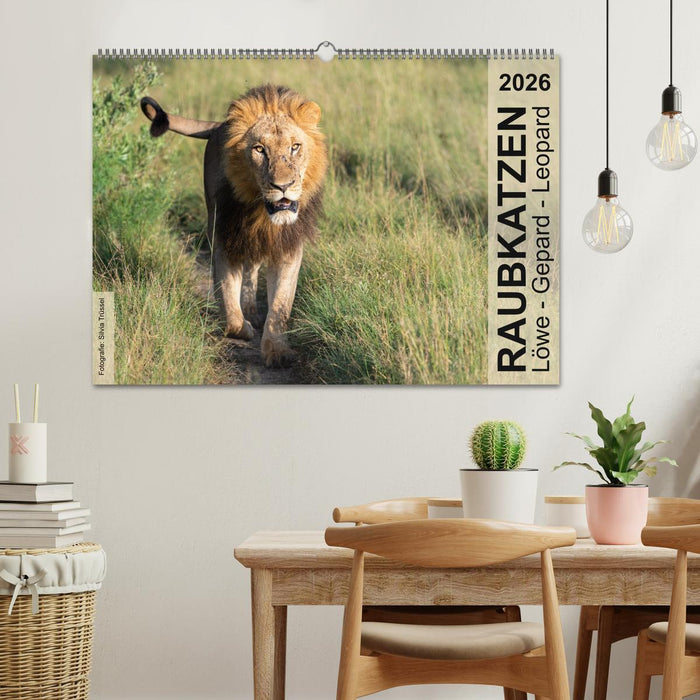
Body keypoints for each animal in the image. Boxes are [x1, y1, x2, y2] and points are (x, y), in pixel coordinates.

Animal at [140, 85, 328, 368]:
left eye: (295, 147)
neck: (261, 213)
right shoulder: (223, 239)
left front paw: (277, 351)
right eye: (259, 149)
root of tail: (219, 126)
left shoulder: (288, 249)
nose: (283, 186)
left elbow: (281, 305)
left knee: (253, 267)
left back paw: (252, 309)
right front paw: (243, 328)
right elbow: (228, 302)